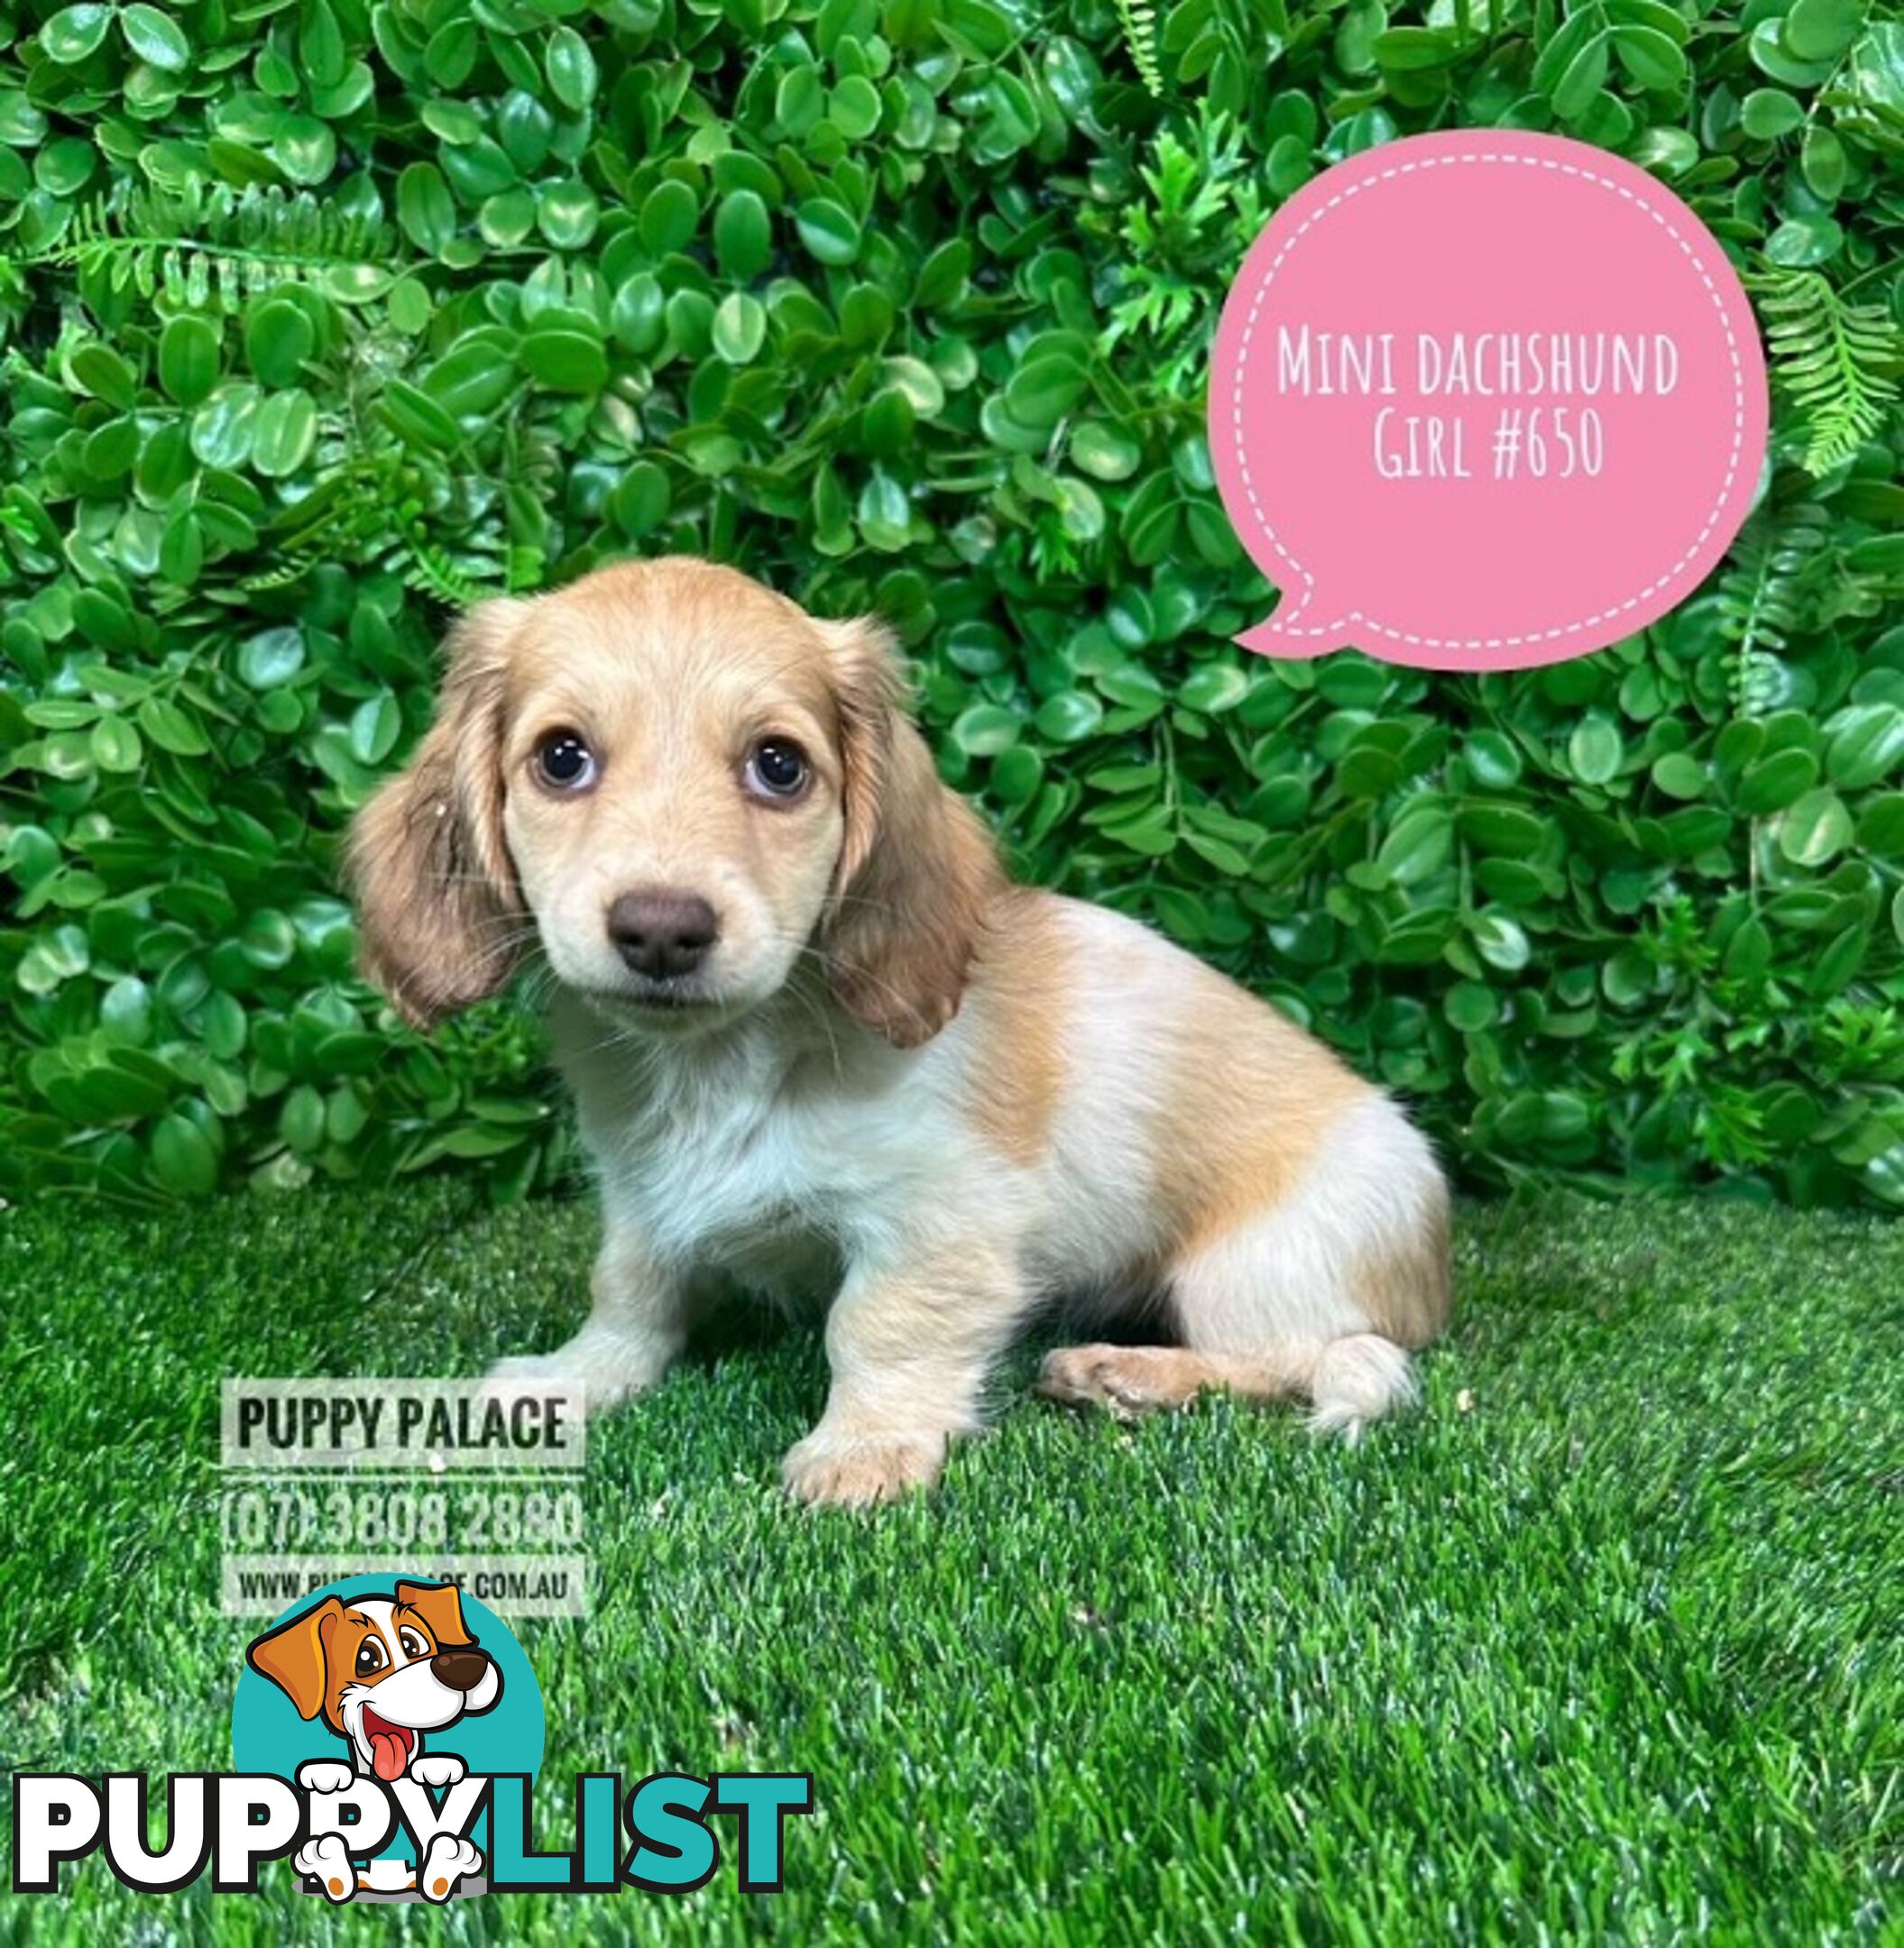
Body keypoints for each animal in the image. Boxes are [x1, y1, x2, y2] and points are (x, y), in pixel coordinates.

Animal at [348, 561, 1449, 1503]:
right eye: (561, 757)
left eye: (778, 766)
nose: (661, 929)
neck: (725, 1067)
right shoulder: (642, 1194)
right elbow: (631, 1289)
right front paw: (578, 1376)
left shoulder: (943, 1218)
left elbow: (875, 1325)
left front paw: (863, 1447)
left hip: (1251, 1268)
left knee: (1306, 1360)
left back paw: (1130, 1373)